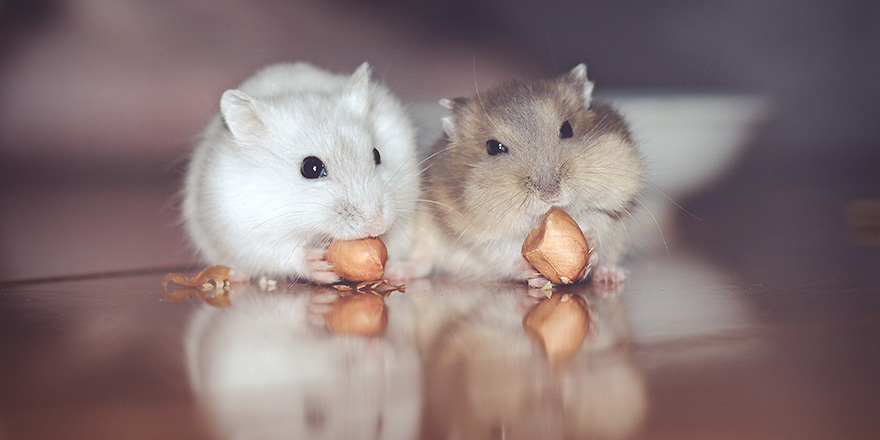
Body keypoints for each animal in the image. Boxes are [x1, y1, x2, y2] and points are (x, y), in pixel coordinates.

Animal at [182, 62, 420, 284]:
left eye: (376, 154)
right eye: (311, 168)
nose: (376, 224)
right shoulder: (248, 232)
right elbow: (285, 254)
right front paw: (319, 266)